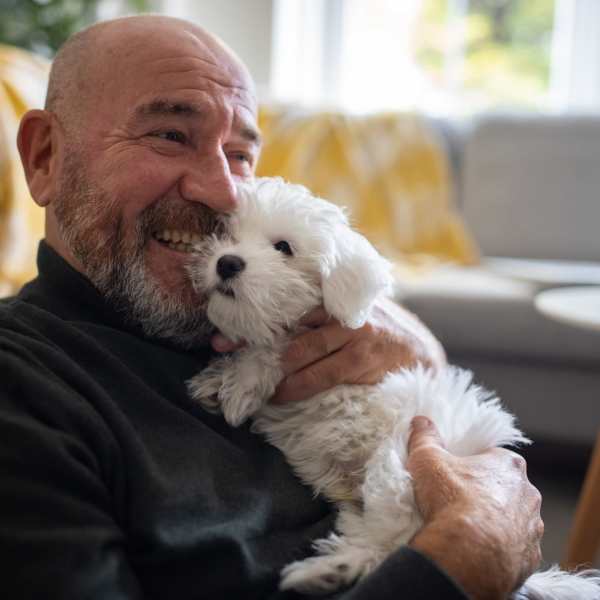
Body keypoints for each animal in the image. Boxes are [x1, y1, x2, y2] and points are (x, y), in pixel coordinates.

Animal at [188, 178, 600, 600]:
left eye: (283, 247)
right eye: (225, 234)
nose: (226, 262)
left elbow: (275, 348)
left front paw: (237, 382)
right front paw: (218, 380)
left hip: (396, 465)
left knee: (395, 536)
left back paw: (326, 569)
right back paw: (329, 569)